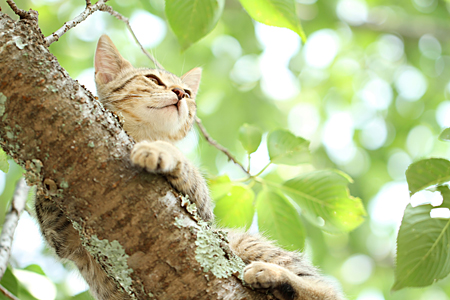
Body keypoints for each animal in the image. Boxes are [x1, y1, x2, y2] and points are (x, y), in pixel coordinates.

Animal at [35, 34, 342, 300]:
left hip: (241, 241)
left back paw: (274, 276)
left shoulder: (203, 215)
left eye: (190, 91)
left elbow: (190, 173)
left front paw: (162, 151)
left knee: (327, 292)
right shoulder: (61, 237)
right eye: (153, 79)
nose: (181, 92)